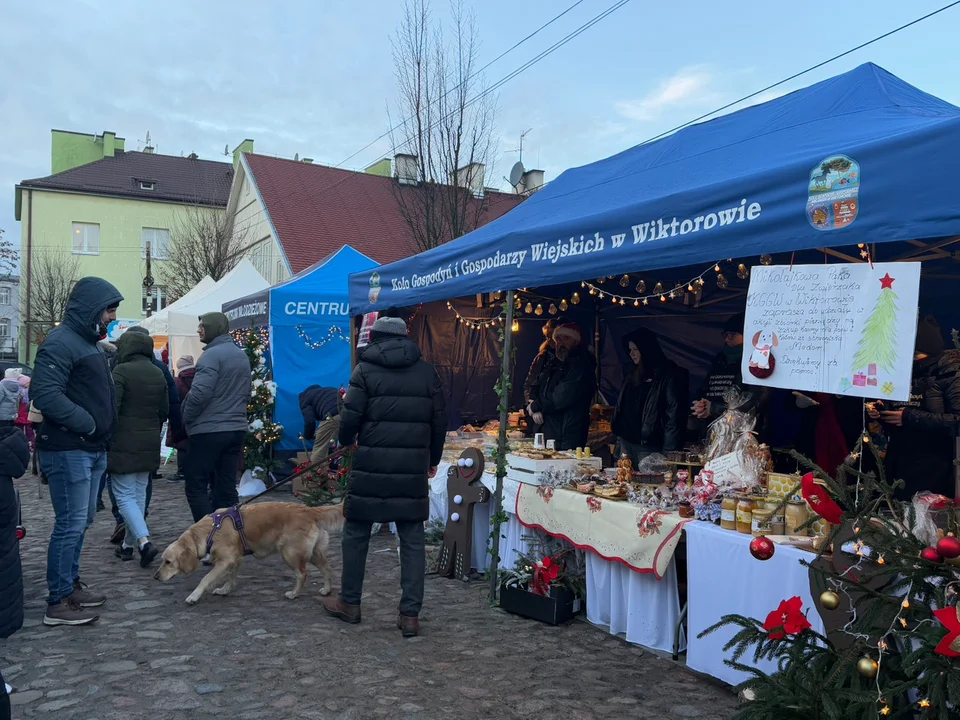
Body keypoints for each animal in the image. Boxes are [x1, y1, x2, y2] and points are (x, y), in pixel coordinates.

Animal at [153, 500, 342, 600]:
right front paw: (225, 589)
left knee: (302, 574)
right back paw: (326, 589)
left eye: (168, 562)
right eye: (162, 561)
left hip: (290, 553)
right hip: (314, 553)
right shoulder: (235, 559)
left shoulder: (225, 560)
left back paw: (294, 593)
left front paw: (194, 596)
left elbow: (206, 578)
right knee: (327, 569)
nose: (155, 577)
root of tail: (309, 510)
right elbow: (230, 577)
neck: (210, 531)